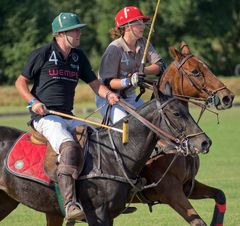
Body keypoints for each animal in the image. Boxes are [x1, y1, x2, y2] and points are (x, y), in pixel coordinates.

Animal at [131, 41, 234, 225]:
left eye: (207, 67)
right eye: (195, 72)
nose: (227, 97)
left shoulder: (188, 186)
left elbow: (220, 194)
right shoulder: (171, 191)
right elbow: (198, 222)